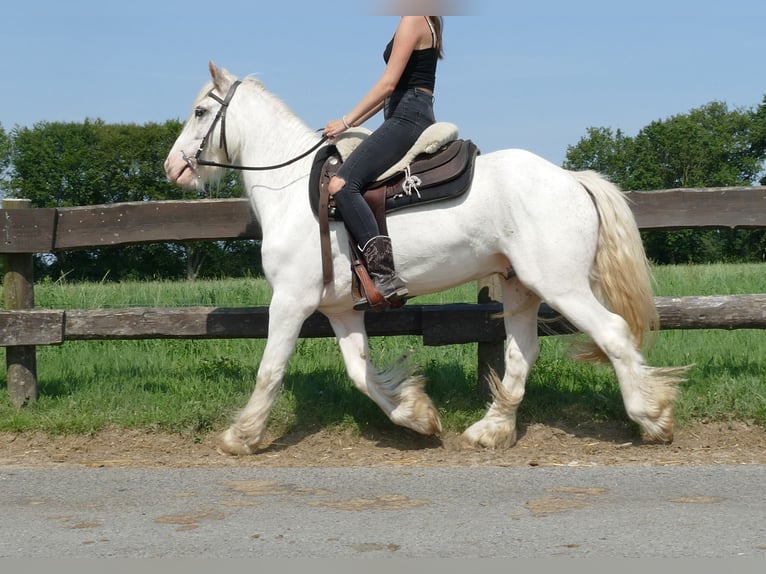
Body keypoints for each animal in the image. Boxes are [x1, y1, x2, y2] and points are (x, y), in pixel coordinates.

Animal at [165, 63, 688, 456]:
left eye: (200, 111)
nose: (172, 168)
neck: (293, 190)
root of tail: (572, 179)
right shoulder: (340, 310)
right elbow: (360, 373)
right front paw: (417, 417)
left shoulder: (291, 301)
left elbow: (270, 370)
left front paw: (241, 436)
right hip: (520, 287)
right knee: (521, 354)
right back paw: (491, 429)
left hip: (562, 286)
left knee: (613, 333)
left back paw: (652, 417)